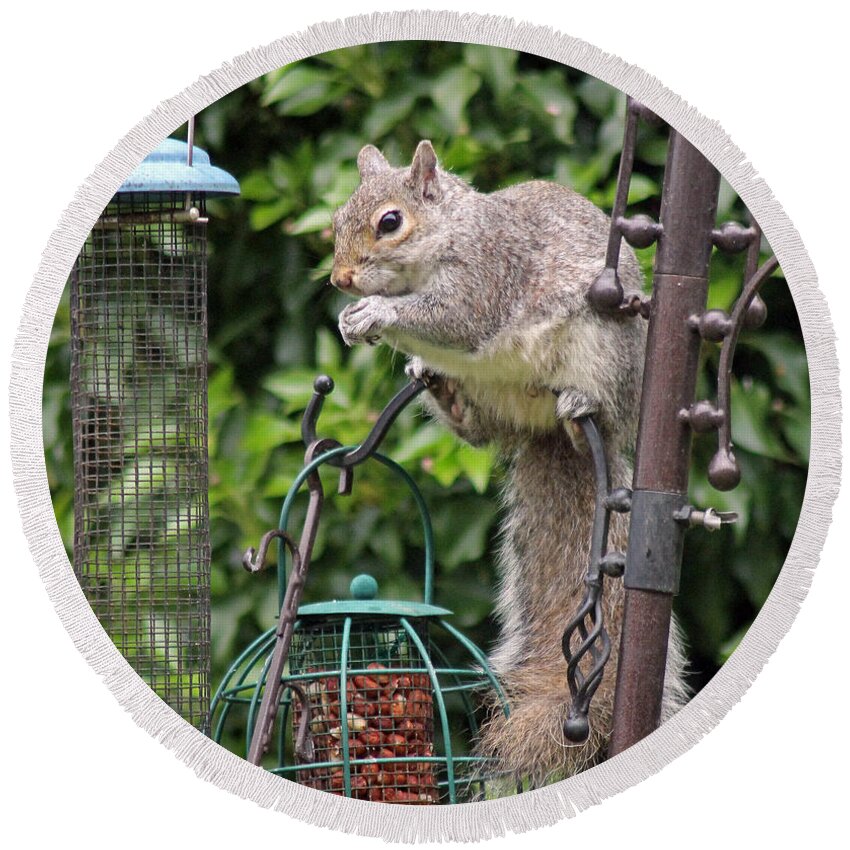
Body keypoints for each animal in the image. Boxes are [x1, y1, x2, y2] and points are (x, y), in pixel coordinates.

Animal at [328, 139, 684, 780]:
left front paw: (375, 314)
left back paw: (581, 407)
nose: (341, 279)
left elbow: (453, 317)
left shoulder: (487, 276)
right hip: (491, 393)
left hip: (604, 356)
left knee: (591, 413)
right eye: (338, 219)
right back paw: (440, 388)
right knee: (480, 431)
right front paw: (353, 321)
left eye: (390, 222)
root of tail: (545, 427)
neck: (452, 232)